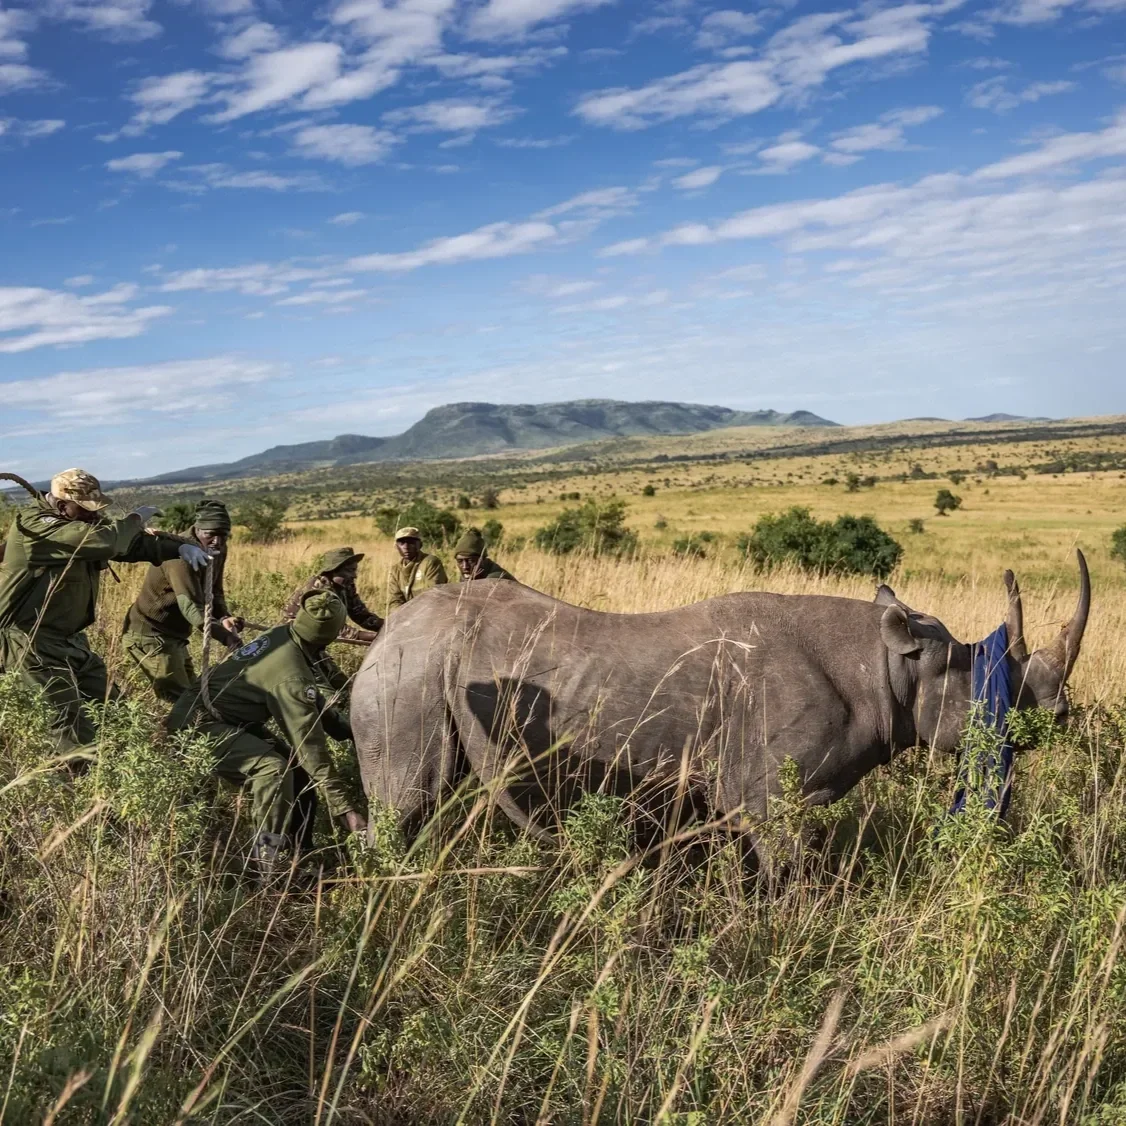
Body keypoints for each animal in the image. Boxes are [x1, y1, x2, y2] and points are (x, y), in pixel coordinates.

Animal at [351, 553, 1089, 843]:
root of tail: (385, 635)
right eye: (993, 686)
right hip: (409, 676)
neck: (891, 667)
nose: (1056, 719)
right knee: (406, 805)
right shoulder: (767, 800)